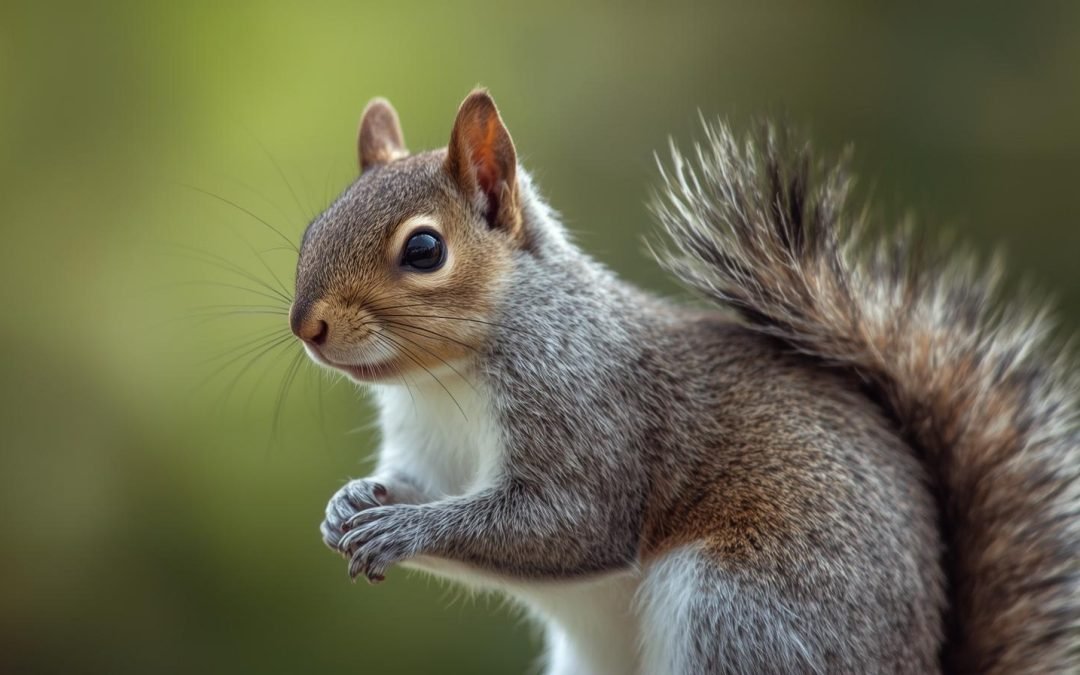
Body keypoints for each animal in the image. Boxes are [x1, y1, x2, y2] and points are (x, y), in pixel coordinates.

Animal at [289, 89, 1079, 674]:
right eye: (312, 229)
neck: (442, 380)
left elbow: (570, 521)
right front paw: (349, 503)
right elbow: (414, 485)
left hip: (741, 613)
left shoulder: (590, 411)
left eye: (425, 249)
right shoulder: (427, 451)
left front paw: (403, 528)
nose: (307, 325)